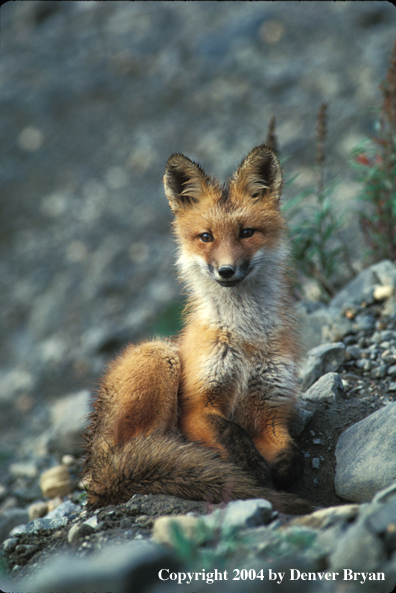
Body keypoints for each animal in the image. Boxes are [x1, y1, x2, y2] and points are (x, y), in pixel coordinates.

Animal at [82, 145, 310, 512]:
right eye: (206, 237)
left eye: (246, 233)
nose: (226, 271)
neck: (246, 340)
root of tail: (95, 472)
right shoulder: (197, 407)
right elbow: (233, 435)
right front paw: (254, 477)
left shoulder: (270, 414)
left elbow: (292, 458)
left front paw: (277, 475)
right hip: (158, 355)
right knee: (142, 452)